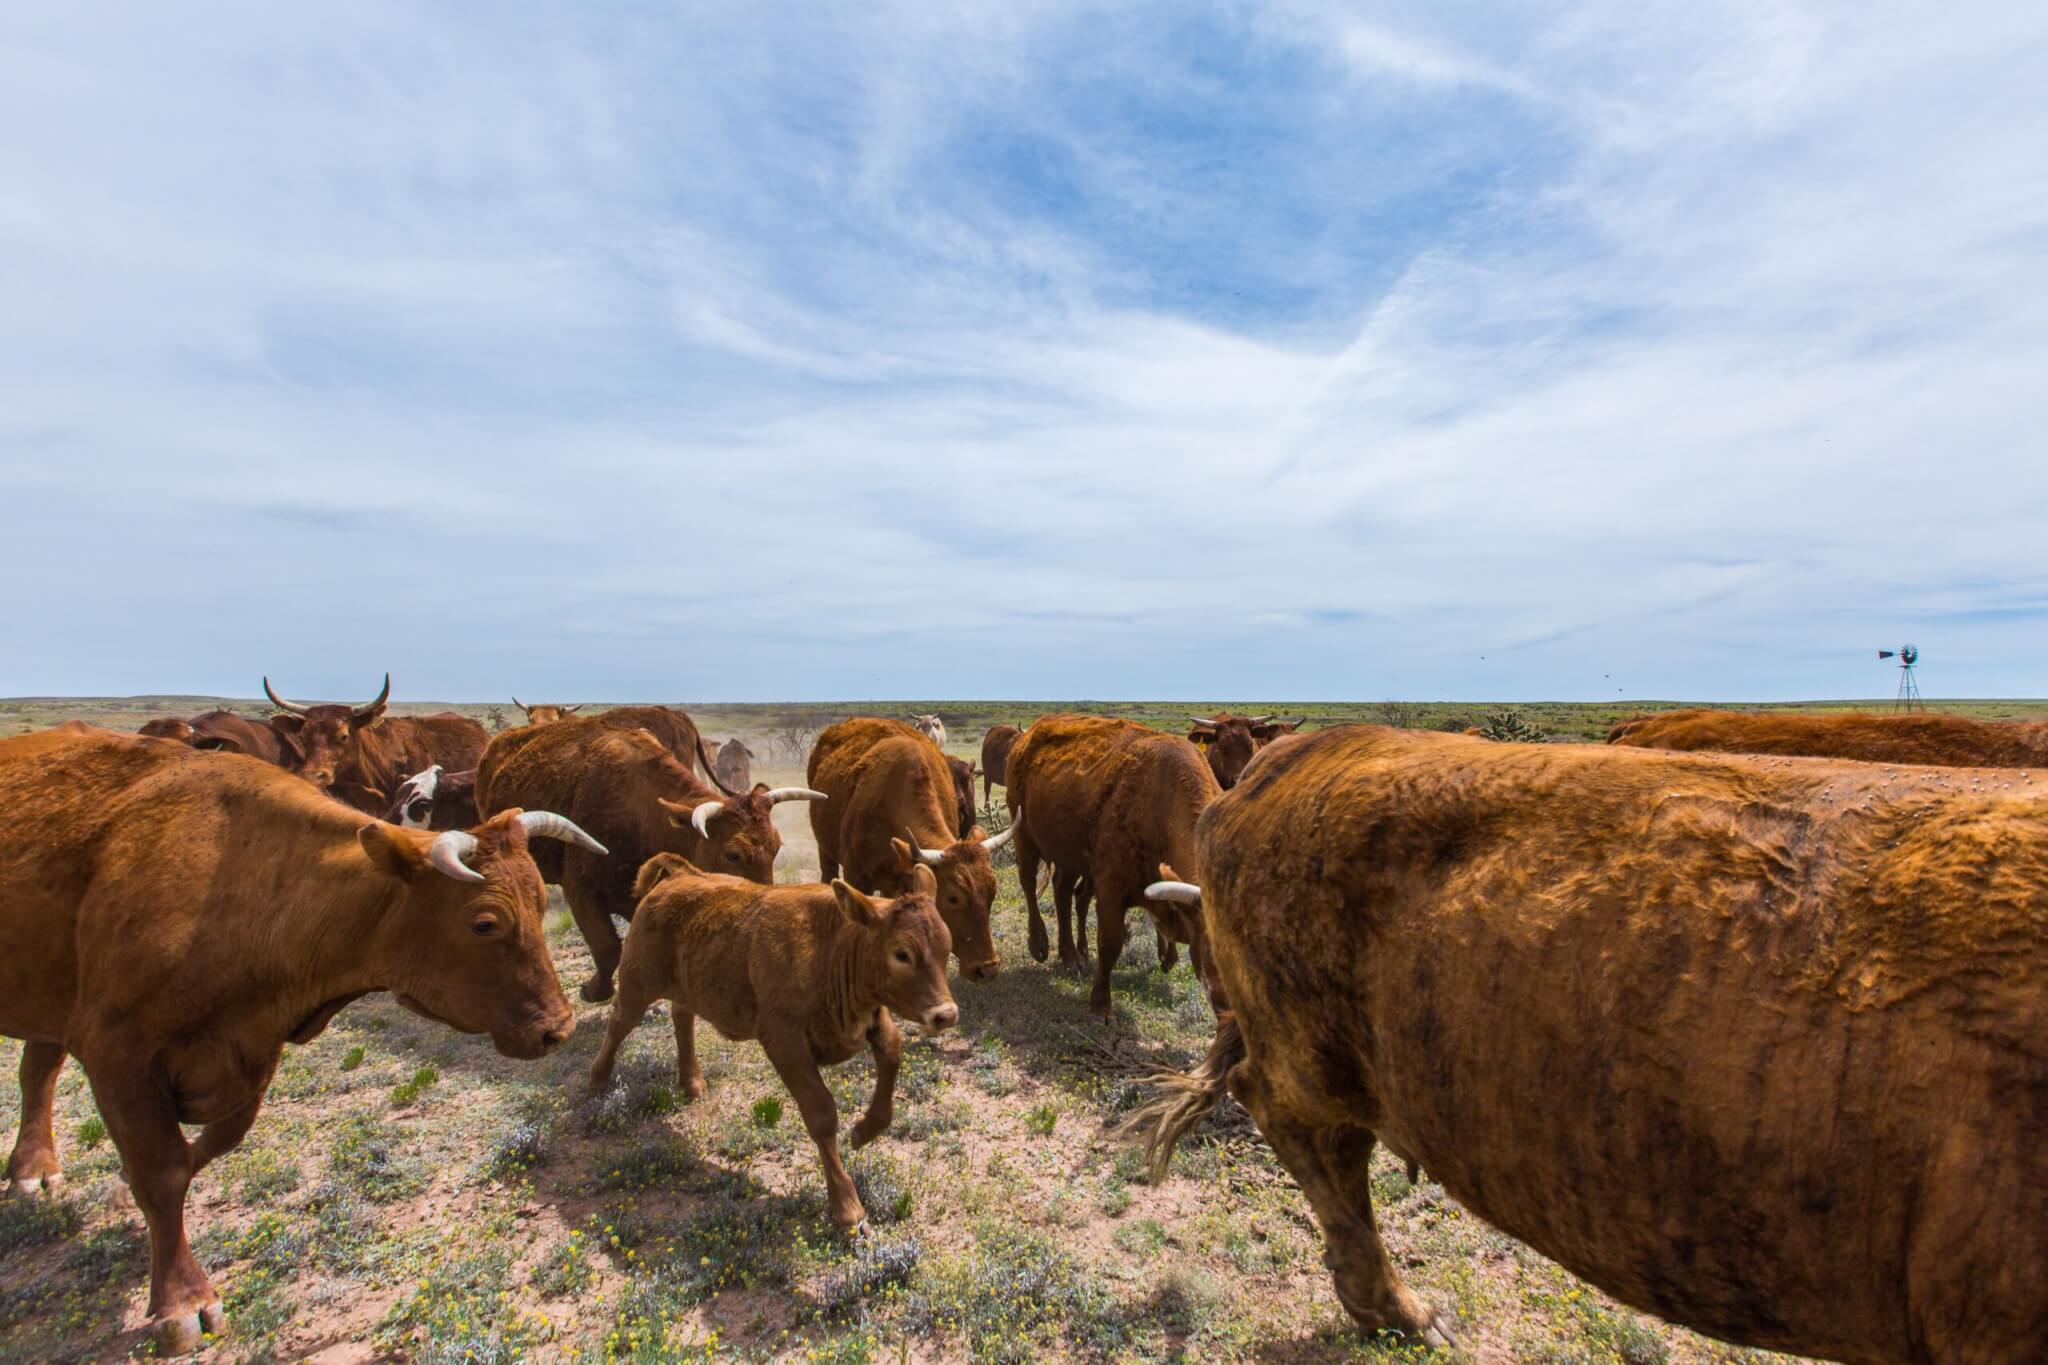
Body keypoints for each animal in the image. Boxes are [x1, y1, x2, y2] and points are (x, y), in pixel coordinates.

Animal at [0, 725, 596, 1354]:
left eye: (540, 903)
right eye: (484, 922)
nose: (558, 1027)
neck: (248, 884)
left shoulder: (252, 1050)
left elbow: (207, 1147)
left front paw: (119, 1187)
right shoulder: (118, 1054)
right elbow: (162, 1173)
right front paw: (181, 1300)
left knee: (37, 1069)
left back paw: (32, 1167)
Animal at [476, 716, 825, 1002]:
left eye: (776, 846)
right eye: (733, 853)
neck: (639, 811)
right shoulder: (581, 889)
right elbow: (607, 947)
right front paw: (595, 990)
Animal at [588, 855, 957, 1231]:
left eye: (947, 946)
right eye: (902, 954)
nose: (945, 1014)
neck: (829, 945)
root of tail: (679, 875)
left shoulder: (870, 1017)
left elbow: (892, 1053)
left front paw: (863, 1132)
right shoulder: (784, 1040)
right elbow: (821, 1113)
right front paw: (846, 1207)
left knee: (681, 1016)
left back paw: (692, 1083)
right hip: (637, 983)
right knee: (619, 1023)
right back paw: (597, 1080)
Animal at [1004, 715, 1220, 1015]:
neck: (1162, 802)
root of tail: (1028, 734)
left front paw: (1167, 957)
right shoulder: (1110, 888)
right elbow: (1110, 942)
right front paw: (1100, 1005)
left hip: (1070, 856)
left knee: (1062, 892)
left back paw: (1071, 956)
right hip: (1024, 835)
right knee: (1028, 883)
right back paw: (1040, 944)